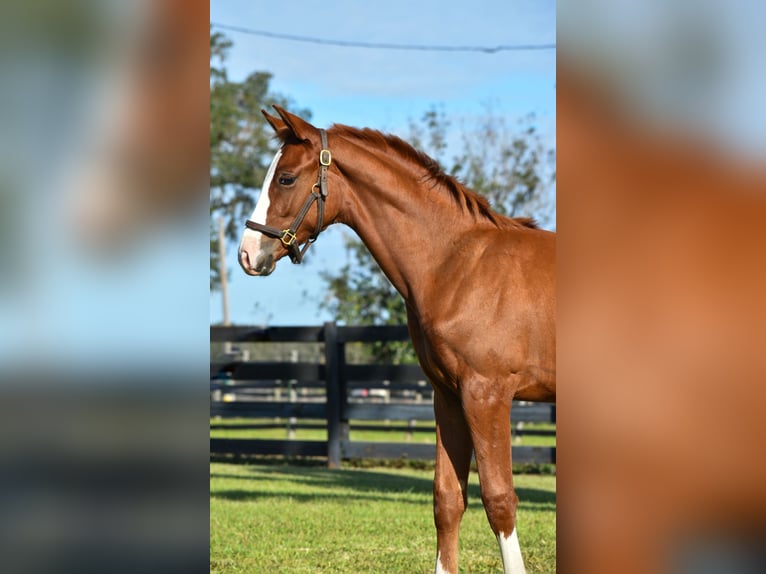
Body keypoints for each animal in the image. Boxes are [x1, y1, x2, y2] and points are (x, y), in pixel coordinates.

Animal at [237, 108, 556, 574]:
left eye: (286, 179)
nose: (247, 253)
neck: (457, 264)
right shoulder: (448, 396)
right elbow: (447, 499)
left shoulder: (488, 395)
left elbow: (499, 500)